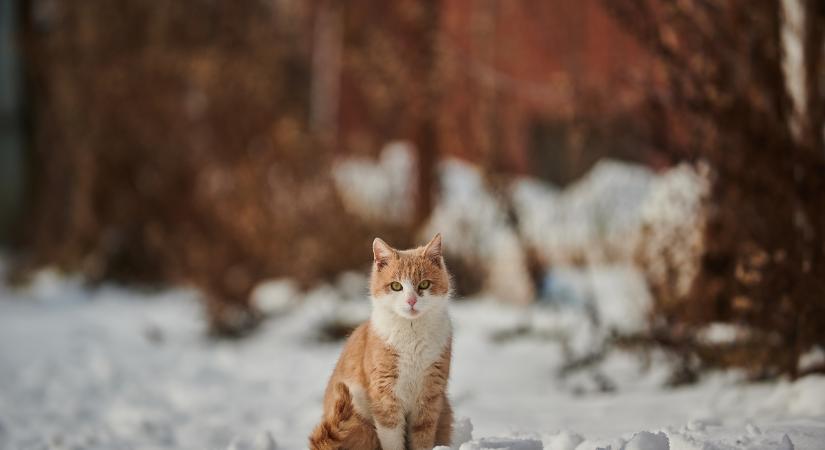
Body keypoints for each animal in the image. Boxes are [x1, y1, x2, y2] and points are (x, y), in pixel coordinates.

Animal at [308, 234, 454, 448]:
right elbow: (392, 438)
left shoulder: (430, 395)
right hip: (360, 425)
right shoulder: (385, 396)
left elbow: (422, 436)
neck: (412, 335)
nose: (411, 301)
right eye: (396, 286)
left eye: (424, 284)